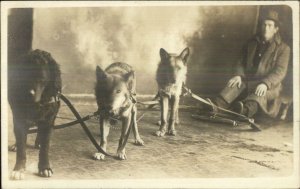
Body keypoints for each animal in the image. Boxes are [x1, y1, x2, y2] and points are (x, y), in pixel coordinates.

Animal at [8, 49, 61, 179]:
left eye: (41, 79)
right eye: (23, 76)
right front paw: (19, 169)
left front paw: (45, 167)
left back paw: (38, 143)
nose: (28, 94)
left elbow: (45, 147)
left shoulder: (48, 120)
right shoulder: (20, 120)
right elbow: (22, 147)